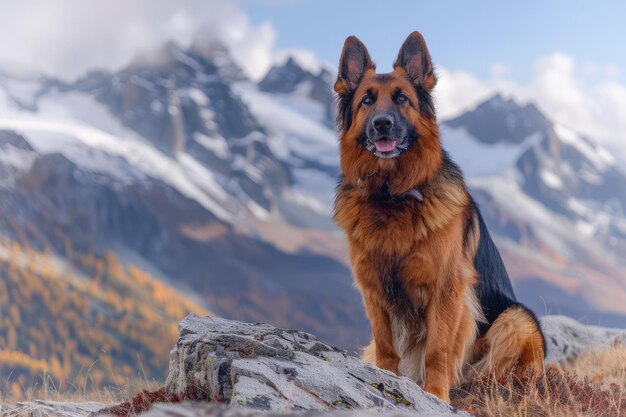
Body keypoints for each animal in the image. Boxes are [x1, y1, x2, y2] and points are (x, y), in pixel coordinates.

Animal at [332, 30, 540, 402]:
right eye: (366, 101)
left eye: (402, 99)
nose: (382, 124)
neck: (392, 196)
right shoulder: (373, 287)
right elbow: (386, 345)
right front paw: (385, 377)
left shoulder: (446, 289)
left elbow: (437, 350)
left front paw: (436, 394)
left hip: (516, 319)